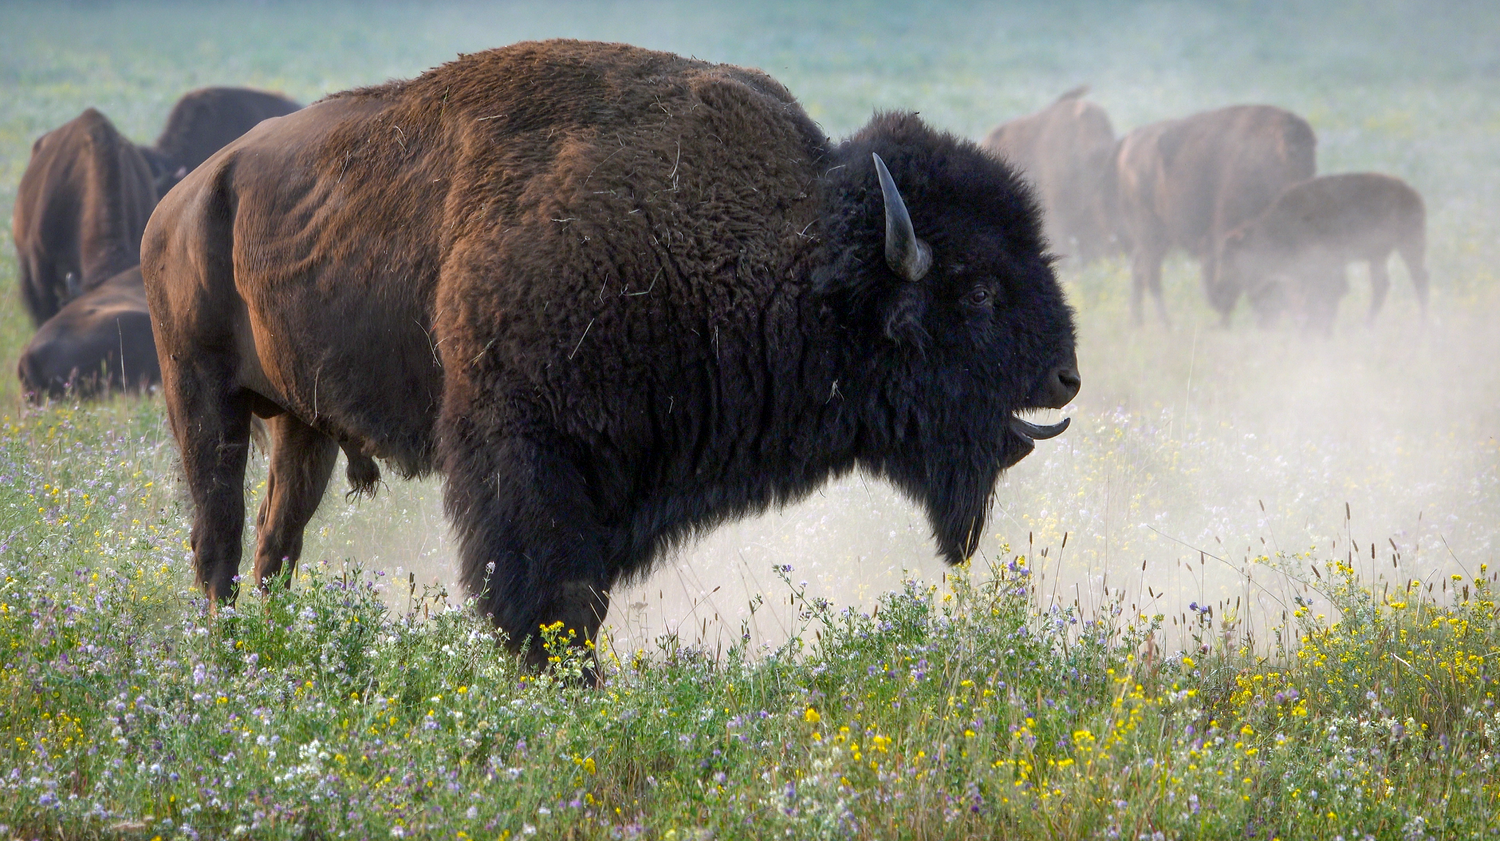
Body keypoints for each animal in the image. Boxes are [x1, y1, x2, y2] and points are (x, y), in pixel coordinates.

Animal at [1110, 102, 1320, 325]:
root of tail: (1130, 140)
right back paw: (1165, 326)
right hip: (1150, 232)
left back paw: (1137, 323)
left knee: (1139, 269)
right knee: (1151, 275)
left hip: (1160, 236)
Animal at [1218, 171, 1428, 331]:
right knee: (1382, 286)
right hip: (1378, 256)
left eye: (1234, 260)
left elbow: (1326, 295)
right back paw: (1367, 325)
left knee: (1419, 281)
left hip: (1410, 245)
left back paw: (1421, 325)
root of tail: (1411, 192)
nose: (1263, 324)